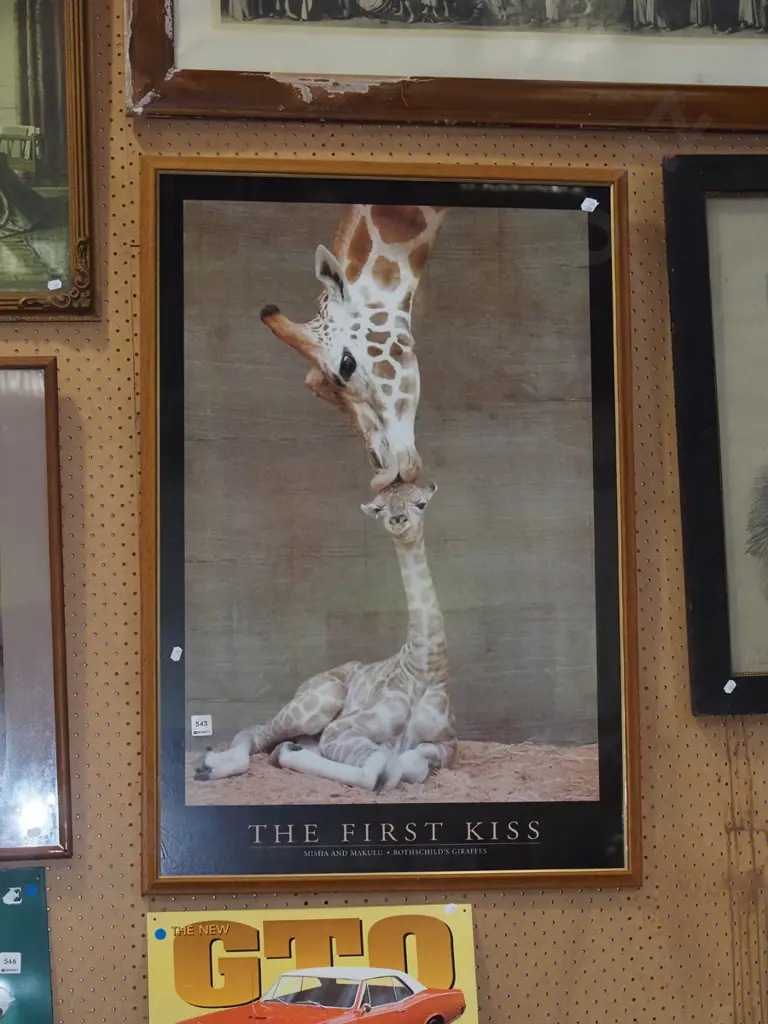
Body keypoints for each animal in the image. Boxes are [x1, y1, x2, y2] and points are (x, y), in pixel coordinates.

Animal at [194, 480, 457, 792]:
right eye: (378, 509)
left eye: (420, 503)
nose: (397, 520)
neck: (425, 666)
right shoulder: (341, 728)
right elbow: (385, 769)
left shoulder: (449, 744)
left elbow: (412, 763)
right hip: (319, 703)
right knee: (256, 734)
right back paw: (208, 765)